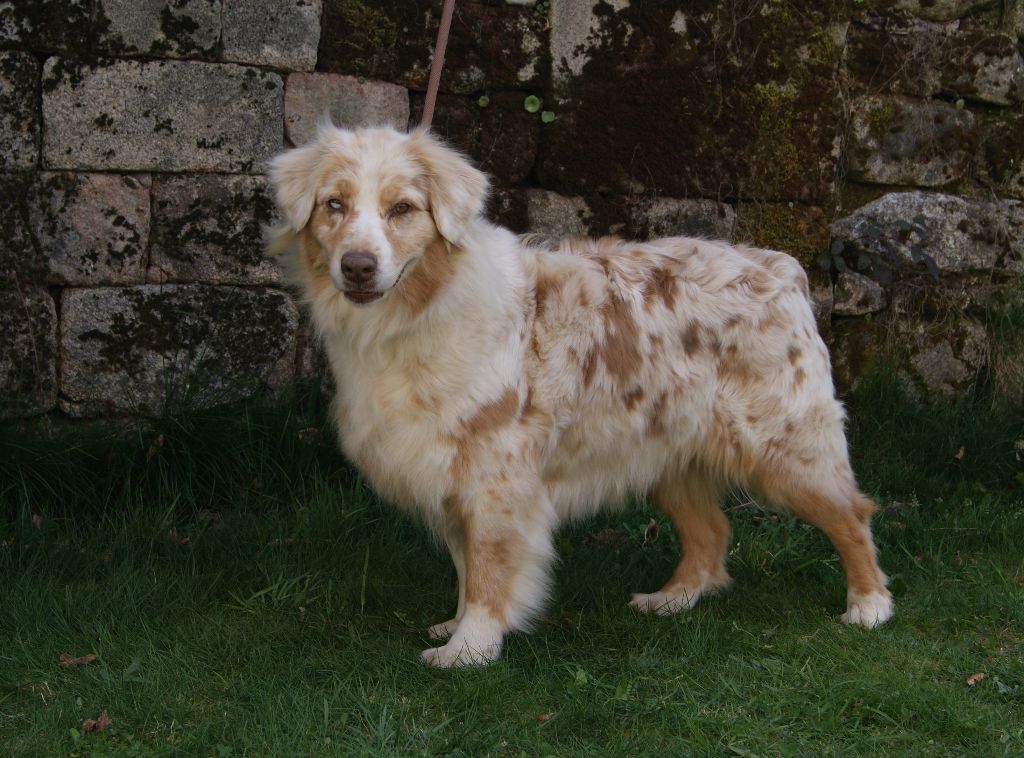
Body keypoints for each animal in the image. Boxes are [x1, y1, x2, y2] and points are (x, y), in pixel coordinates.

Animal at [268, 125, 893, 667]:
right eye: (334, 205)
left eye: (402, 209)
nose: (358, 266)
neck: (414, 316)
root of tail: (780, 266)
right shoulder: (449, 472)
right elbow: (466, 567)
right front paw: (459, 626)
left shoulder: (496, 478)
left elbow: (489, 569)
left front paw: (470, 649)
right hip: (666, 453)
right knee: (712, 533)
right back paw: (672, 600)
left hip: (784, 446)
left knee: (851, 514)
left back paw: (869, 606)